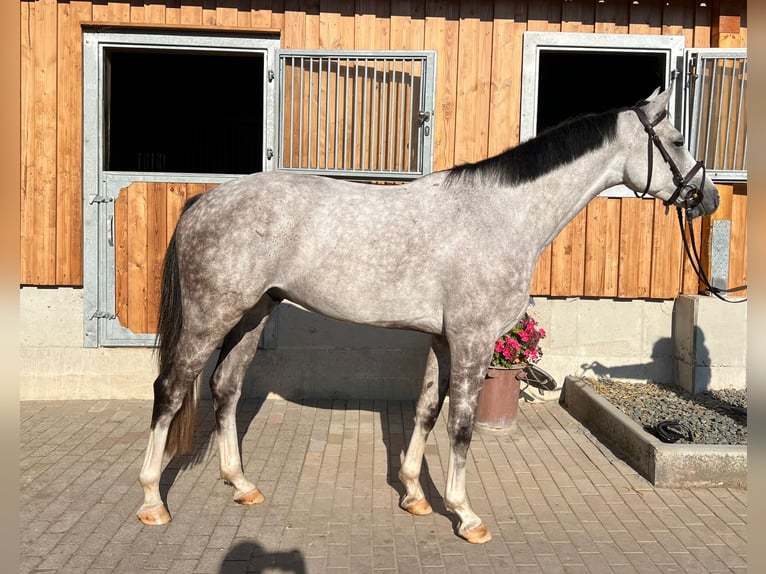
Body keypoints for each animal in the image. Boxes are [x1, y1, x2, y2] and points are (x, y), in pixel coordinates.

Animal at [136, 89, 720, 544]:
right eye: (675, 140)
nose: (707, 197)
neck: (500, 215)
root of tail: (205, 201)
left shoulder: (442, 340)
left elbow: (425, 411)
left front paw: (415, 494)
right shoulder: (473, 340)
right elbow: (461, 426)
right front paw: (465, 515)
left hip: (253, 313)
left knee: (225, 388)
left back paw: (241, 484)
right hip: (211, 316)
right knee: (170, 390)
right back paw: (152, 502)